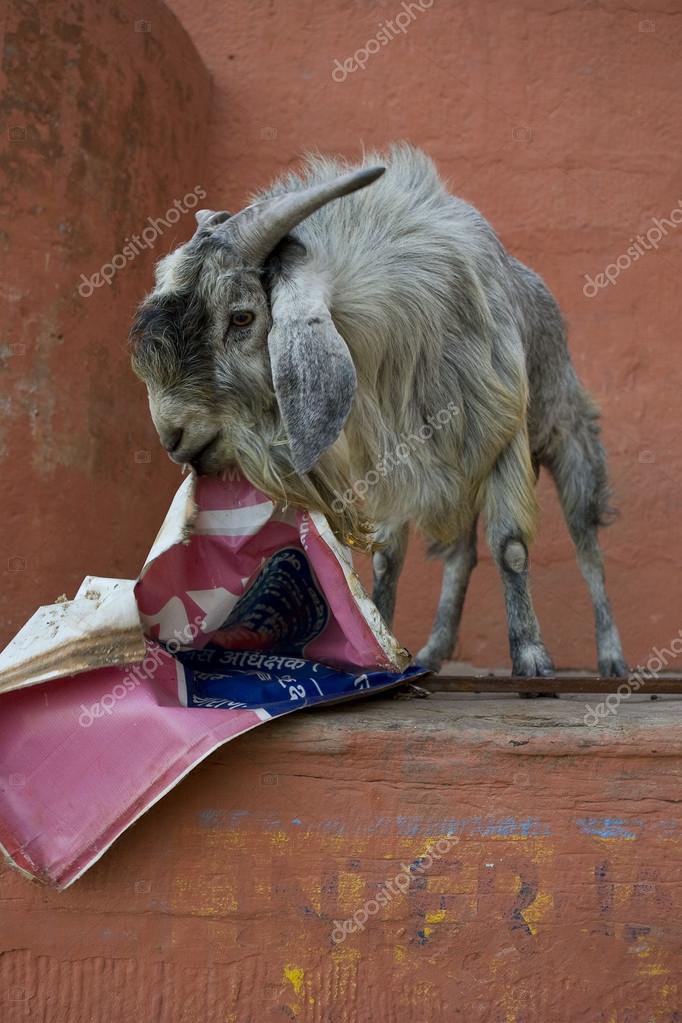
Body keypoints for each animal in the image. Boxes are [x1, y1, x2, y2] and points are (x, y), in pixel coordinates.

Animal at [130, 144, 627, 679]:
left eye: (242, 317)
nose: (173, 436)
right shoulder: (391, 457)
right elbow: (390, 556)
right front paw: (384, 638)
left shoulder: (501, 435)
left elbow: (510, 546)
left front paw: (531, 656)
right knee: (461, 552)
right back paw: (435, 648)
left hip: (565, 435)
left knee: (585, 544)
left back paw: (611, 656)